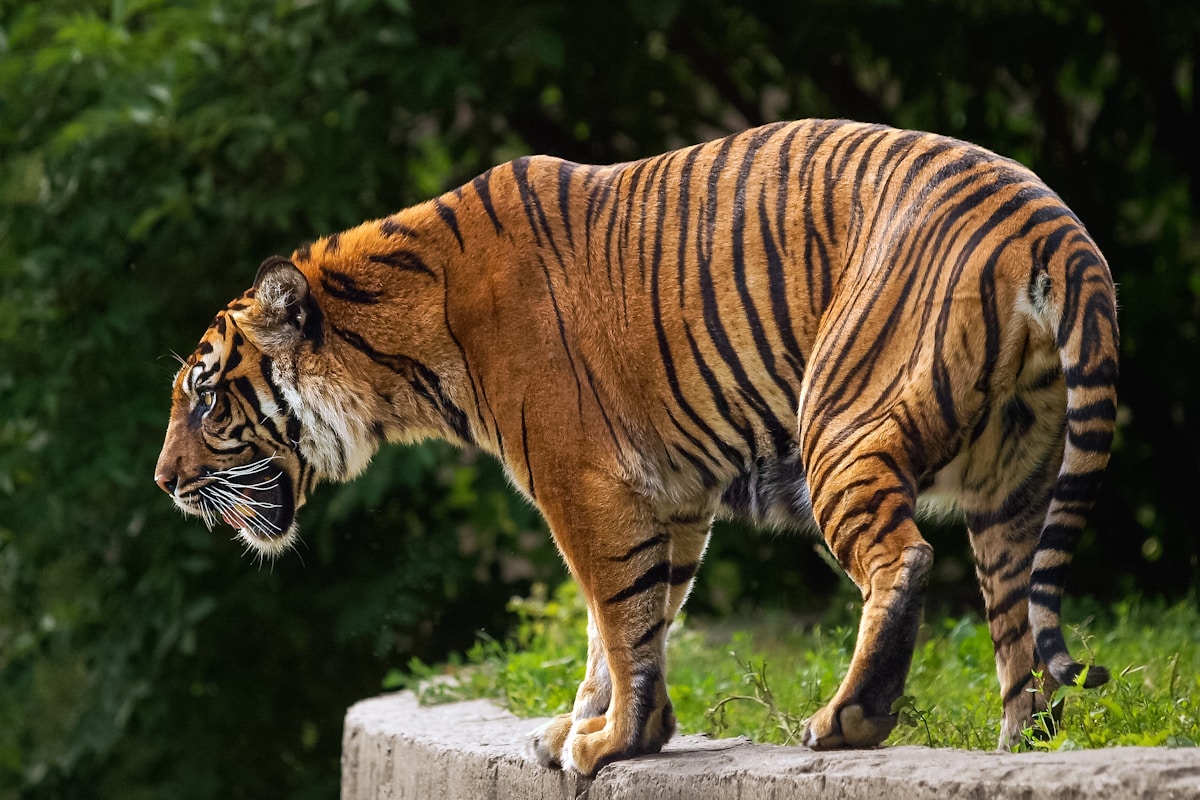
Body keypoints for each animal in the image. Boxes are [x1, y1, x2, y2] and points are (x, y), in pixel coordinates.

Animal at [155, 118, 1119, 775]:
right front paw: (580, 727)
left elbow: (616, 617)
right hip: (1013, 482)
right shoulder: (673, 493)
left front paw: (618, 739)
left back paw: (847, 720)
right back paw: (1021, 746)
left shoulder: (583, 482)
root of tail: (1049, 221)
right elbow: (625, 621)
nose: (164, 482)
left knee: (905, 558)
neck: (400, 344)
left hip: (843, 418)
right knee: (1015, 619)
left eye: (203, 396)